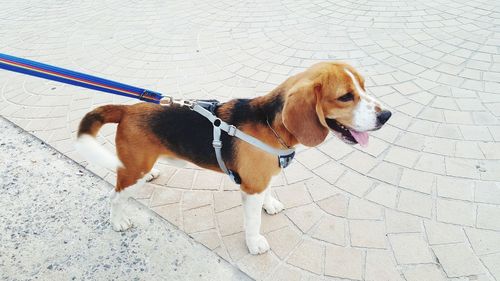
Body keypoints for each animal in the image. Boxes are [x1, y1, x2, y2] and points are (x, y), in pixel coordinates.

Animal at [77, 61, 390, 254]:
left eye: (363, 87)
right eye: (345, 97)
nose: (386, 115)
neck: (269, 124)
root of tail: (127, 109)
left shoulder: (264, 178)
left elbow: (269, 192)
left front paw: (270, 205)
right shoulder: (250, 188)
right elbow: (252, 223)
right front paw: (255, 244)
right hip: (131, 174)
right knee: (114, 195)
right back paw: (118, 221)